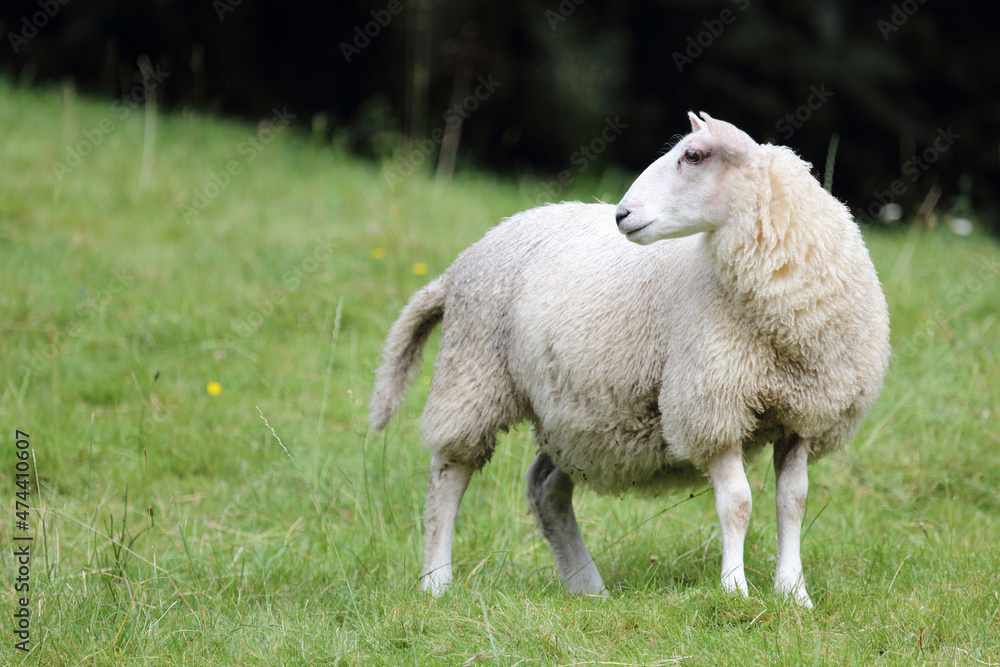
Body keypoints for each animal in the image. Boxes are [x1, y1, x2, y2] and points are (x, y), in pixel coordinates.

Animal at [369, 111, 891, 607]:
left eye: (694, 155)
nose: (621, 215)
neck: (785, 331)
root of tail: (462, 262)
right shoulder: (710, 405)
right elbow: (737, 504)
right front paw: (734, 590)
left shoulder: (806, 414)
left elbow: (793, 502)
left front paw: (794, 594)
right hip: (473, 374)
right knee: (447, 475)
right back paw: (437, 582)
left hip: (574, 415)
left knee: (545, 487)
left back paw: (587, 587)